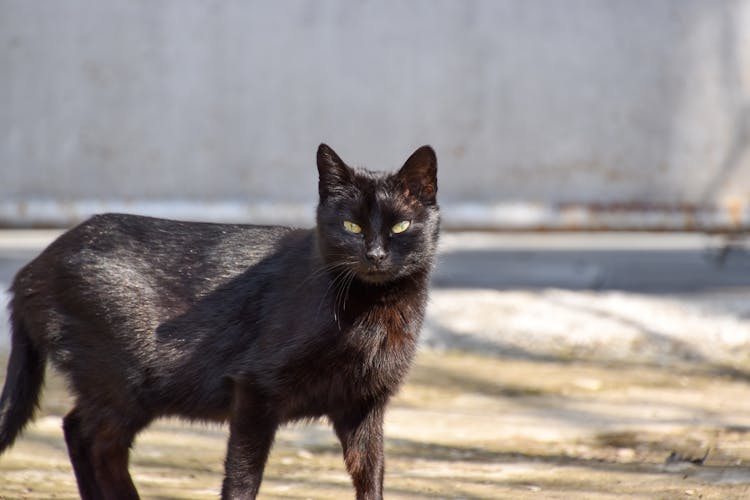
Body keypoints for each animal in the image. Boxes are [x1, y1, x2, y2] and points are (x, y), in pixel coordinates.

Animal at [0, 143, 440, 498]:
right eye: (352, 226)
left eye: (400, 226)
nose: (375, 256)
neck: (373, 309)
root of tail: (31, 269)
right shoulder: (255, 390)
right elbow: (243, 478)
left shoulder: (363, 406)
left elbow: (372, 476)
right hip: (125, 386)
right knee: (94, 441)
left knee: (77, 430)